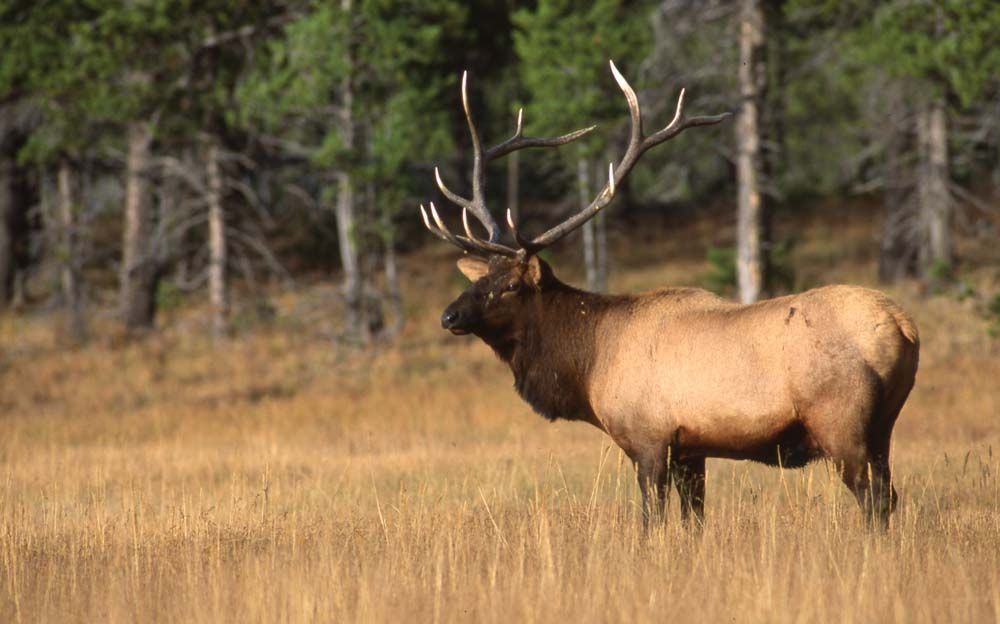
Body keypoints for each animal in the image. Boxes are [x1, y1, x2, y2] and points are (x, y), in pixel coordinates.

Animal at [420, 61, 920, 530]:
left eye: (509, 286)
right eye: (479, 279)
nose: (448, 316)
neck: (588, 364)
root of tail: (903, 326)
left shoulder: (648, 440)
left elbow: (651, 520)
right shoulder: (690, 450)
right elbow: (693, 520)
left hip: (840, 420)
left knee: (874, 498)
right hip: (885, 424)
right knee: (891, 494)